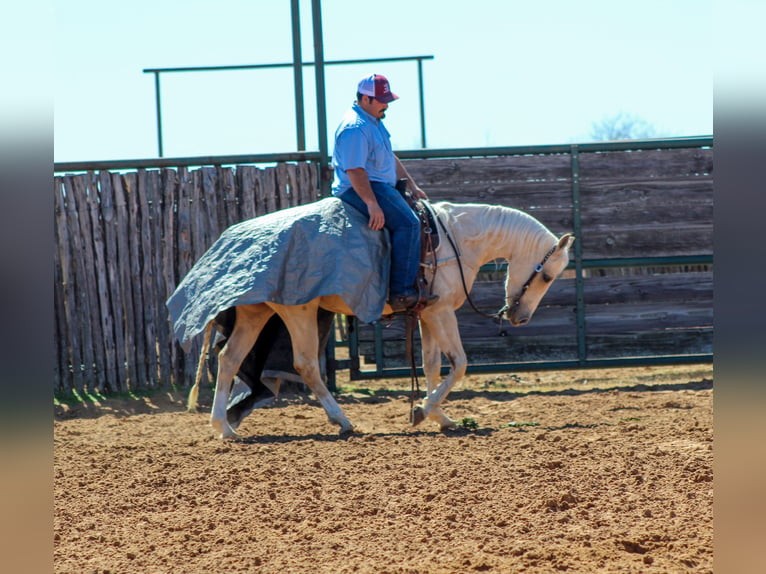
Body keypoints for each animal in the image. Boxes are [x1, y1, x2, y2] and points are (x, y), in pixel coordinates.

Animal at [190, 200, 576, 438]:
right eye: (546, 276)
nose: (519, 318)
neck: (456, 238)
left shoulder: (426, 314)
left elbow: (432, 366)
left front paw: (438, 416)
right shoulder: (440, 313)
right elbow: (460, 364)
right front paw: (423, 410)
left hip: (256, 313)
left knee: (230, 359)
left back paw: (223, 427)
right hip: (298, 310)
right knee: (306, 364)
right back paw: (343, 421)